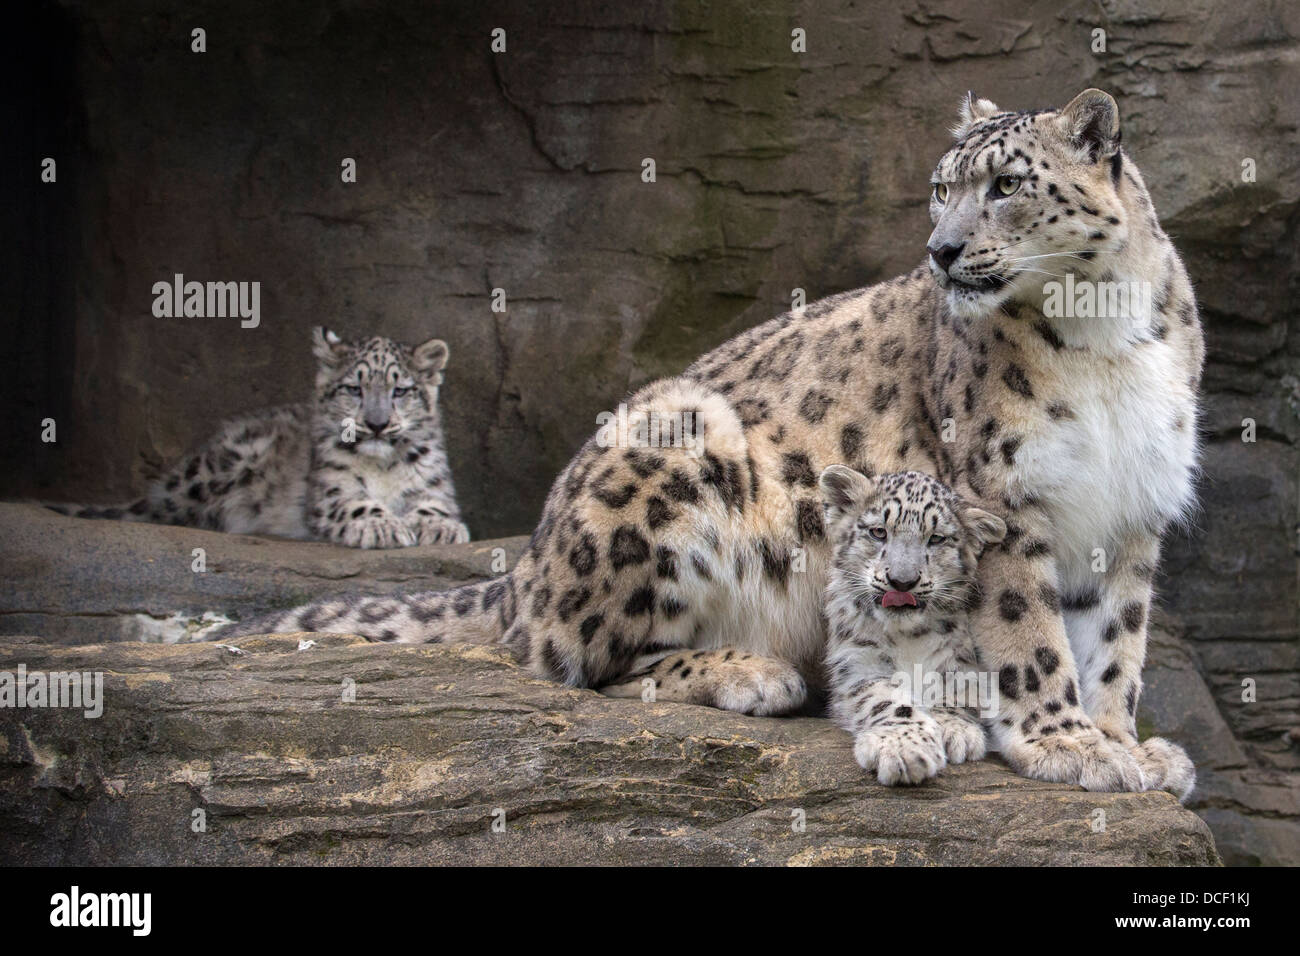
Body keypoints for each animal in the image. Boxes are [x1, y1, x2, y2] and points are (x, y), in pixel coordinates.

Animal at [46, 327, 469, 549]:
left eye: (400, 391)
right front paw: (384, 526)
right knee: (155, 506)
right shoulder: (332, 490)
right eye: (354, 388)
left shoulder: (434, 484)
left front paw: (441, 529)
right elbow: (356, 504)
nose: (377, 424)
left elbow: (436, 506)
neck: (382, 466)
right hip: (219, 467)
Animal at [820, 465, 1006, 786]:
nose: (902, 581)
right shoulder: (858, 662)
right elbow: (883, 697)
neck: (907, 639)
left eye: (936, 538)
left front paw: (953, 730)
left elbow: (961, 690)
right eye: (878, 532)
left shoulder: (964, 657)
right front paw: (905, 747)